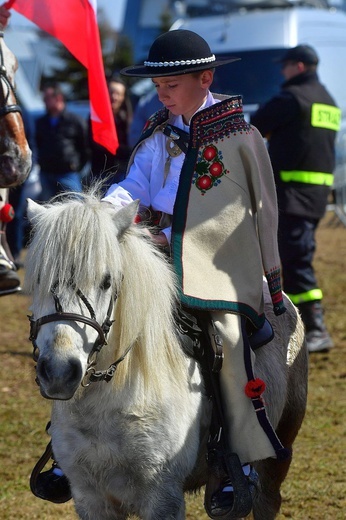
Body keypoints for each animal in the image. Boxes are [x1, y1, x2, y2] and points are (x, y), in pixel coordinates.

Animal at [25, 191, 308, 520]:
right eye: (39, 279)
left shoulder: (163, 496)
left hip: (281, 446)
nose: (58, 372)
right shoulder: (90, 498)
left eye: (107, 281)